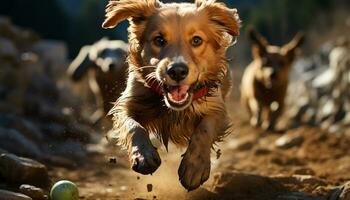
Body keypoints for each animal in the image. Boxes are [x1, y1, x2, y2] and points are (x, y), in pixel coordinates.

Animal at [101, 0, 241, 191]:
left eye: (196, 40)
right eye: (159, 40)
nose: (177, 71)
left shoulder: (216, 107)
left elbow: (204, 130)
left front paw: (195, 167)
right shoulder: (127, 104)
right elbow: (133, 126)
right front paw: (144, 155)